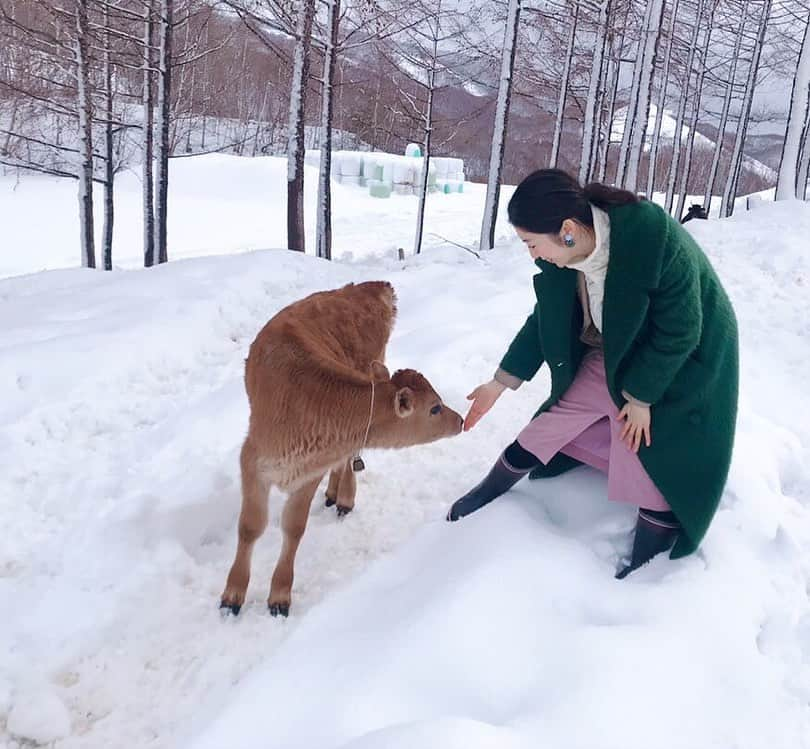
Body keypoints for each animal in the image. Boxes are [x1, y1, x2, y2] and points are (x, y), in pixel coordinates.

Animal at [219, 280, 460, 612]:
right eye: (435, 408)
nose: (460, 419)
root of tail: (372, 286)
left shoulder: (310, 472)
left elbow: (294, 527)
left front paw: (280, 595)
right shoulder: (253, 458)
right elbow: (250, 526)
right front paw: (232, 595)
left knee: (349, 459)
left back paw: (343, 497)